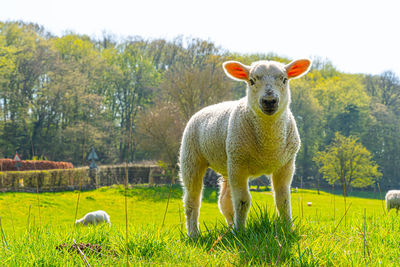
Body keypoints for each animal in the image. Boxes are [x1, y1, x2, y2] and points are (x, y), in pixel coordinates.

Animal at [179, 59, 312, 239]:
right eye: (251, 81)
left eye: (284, 79)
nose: (269, 100)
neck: (268, 147)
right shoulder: (238, 164)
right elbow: (243, 201)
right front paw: (241, 233)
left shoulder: (286, 165)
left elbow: (283, 200)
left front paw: (287, 229)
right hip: (191, 157)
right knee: (192, 200)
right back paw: (194, 234)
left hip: (227, 164)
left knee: (225, 200)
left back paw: (230, 228)